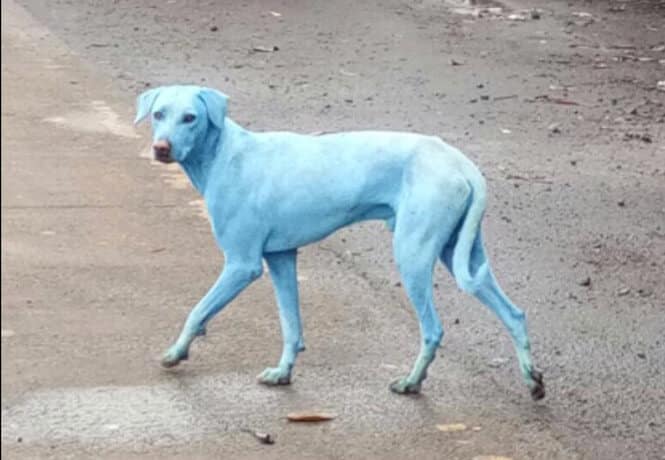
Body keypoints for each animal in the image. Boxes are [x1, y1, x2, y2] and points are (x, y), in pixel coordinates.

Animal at [135, 85, 544, 398]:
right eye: (159, 114)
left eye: (190, 117)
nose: (161, 149)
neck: (224, 154)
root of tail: (460, 162)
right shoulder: (281, 258)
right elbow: (291, 326)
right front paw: (283, 373)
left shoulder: (242, 265)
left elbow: (197, 311)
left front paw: (175, 353)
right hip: (460, 253)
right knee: (513, 313)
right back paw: (533, 380)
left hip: (412, 255)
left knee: (433, 329)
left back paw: (411, 382)